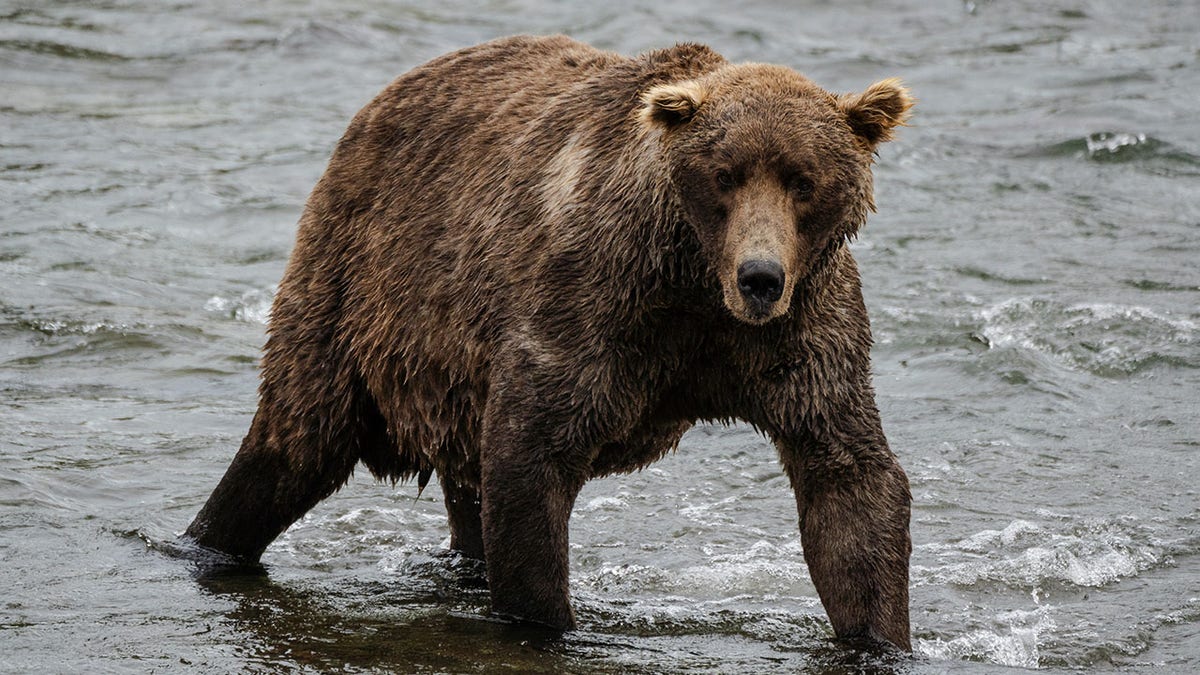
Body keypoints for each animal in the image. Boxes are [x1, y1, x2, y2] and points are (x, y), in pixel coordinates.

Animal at [187, 34, 912, 648]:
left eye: (803, 180)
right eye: (725, 174)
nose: (760, 276)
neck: (692, 282)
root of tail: (385, 97)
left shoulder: (800, 334)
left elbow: (848, 479)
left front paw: (879, 637)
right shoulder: (593, 303)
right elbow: (532, 456)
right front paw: (548, 625)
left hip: (452, 382)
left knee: (462, 481)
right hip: (360, 289)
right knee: (294, 439)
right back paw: (207, 543)